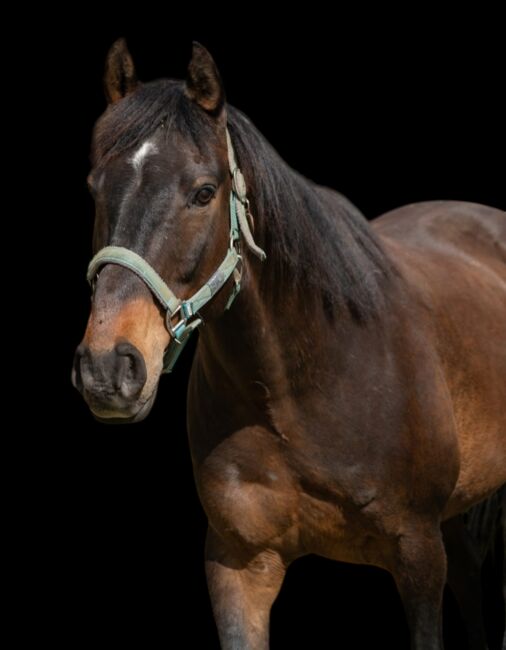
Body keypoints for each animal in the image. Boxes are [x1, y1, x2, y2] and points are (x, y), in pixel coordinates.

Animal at [71, 40, 506, 648]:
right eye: (95, 188)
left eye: (204, 192)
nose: (108, 368)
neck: (303, 384)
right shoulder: (238, 564)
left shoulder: (418, 555)